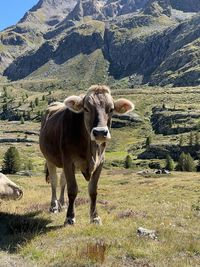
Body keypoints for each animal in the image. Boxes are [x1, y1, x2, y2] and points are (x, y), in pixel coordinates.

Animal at [39, 84, 134, 226]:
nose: (100, 132)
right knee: (54, 181)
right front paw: (70, 217)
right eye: (86, 108)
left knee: (62, 181)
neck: (90, 150)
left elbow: (93, 190)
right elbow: (72, 189)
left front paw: (95, 217)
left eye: (111, 109)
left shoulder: (100, 162)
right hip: (49, 158)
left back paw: (62, 204)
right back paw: (54, 206)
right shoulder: (68, 160)